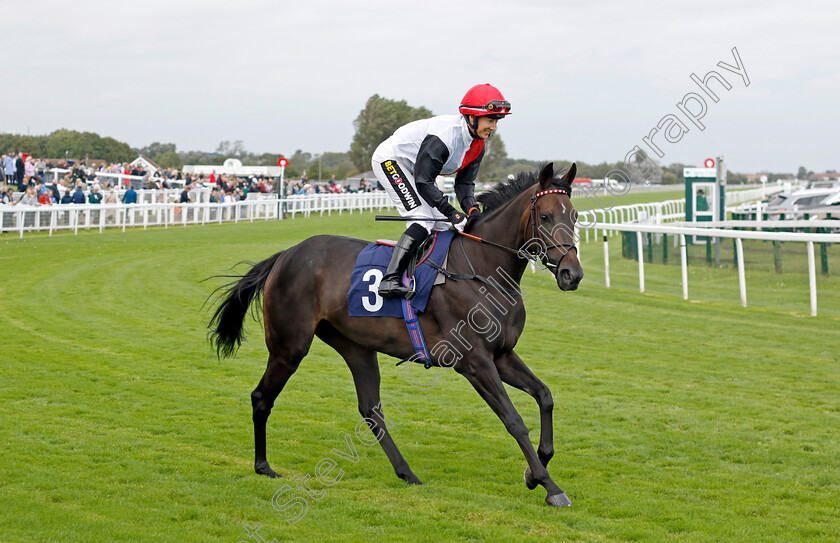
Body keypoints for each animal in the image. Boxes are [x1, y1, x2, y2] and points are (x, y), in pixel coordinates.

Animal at [210, 162, 584, 506]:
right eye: (546, 216)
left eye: (575, 215)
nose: (572, 274)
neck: (481, 268)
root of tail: (285, 255)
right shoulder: (474, 361)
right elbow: (514, 420)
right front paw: (551, 486)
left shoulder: (502, 355)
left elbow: (545, 395)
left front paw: (535, 471)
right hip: (289, 346)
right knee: (262, 397)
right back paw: (263, 466)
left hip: (356, 347)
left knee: (371, 410)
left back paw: (407, 472)